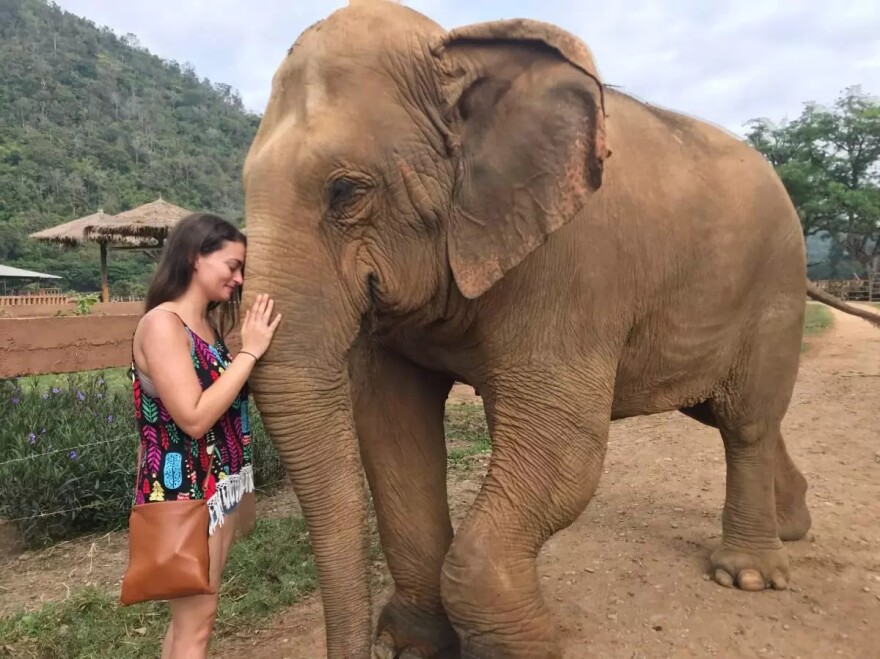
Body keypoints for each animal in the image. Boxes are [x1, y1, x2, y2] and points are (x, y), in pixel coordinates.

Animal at [239, 1, 880, 659]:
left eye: (345, 191)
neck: (458, 50)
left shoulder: (574, 268)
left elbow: (565, 443)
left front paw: (534, 645)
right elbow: (393, 430)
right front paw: (413, 646)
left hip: (774, 284)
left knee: (746, 420)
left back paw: (749, 575)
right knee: (725, 413)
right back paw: (792, 526)